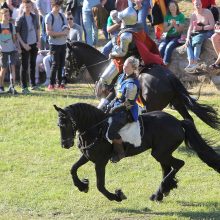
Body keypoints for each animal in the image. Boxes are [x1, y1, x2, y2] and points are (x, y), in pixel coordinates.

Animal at [53, 102, 220, 202]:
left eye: (65, 124)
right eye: (58, 125)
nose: (65, 144)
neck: (96, 129)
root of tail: (178, 122)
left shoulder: (100, 162)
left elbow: (100, 185)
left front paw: (116, 196)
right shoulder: (87, 156)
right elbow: (73, 169)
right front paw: (82, 185)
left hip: (160, 153)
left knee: (178, 164)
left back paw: (161, 190)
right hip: (161, 153)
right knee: (167, 168)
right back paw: (162, 192)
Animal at [65, 41, 220, 131]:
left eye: (67, 57)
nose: (66, 75)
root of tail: (169, 77)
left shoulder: (112, 95)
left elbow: (104, 107)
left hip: (154, 105)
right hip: (177, 102)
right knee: (189, 119)